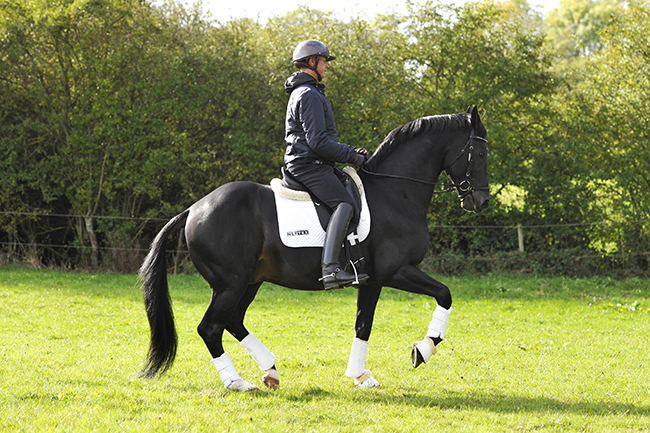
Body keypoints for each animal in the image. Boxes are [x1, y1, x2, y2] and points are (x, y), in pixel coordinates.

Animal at [140, 106, 486, 390]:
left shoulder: (372, 280)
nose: (481, 202)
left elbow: (363, 324)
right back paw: (237, 382)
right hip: (230, 283)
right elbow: (444, 294)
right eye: (481, 153)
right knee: (211, 328)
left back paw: (270, 370)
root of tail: (193, 210)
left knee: (233, 322)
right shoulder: (396, 271)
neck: (394, 191)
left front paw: (360, 375)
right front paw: (422, 350)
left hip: (249, 281)